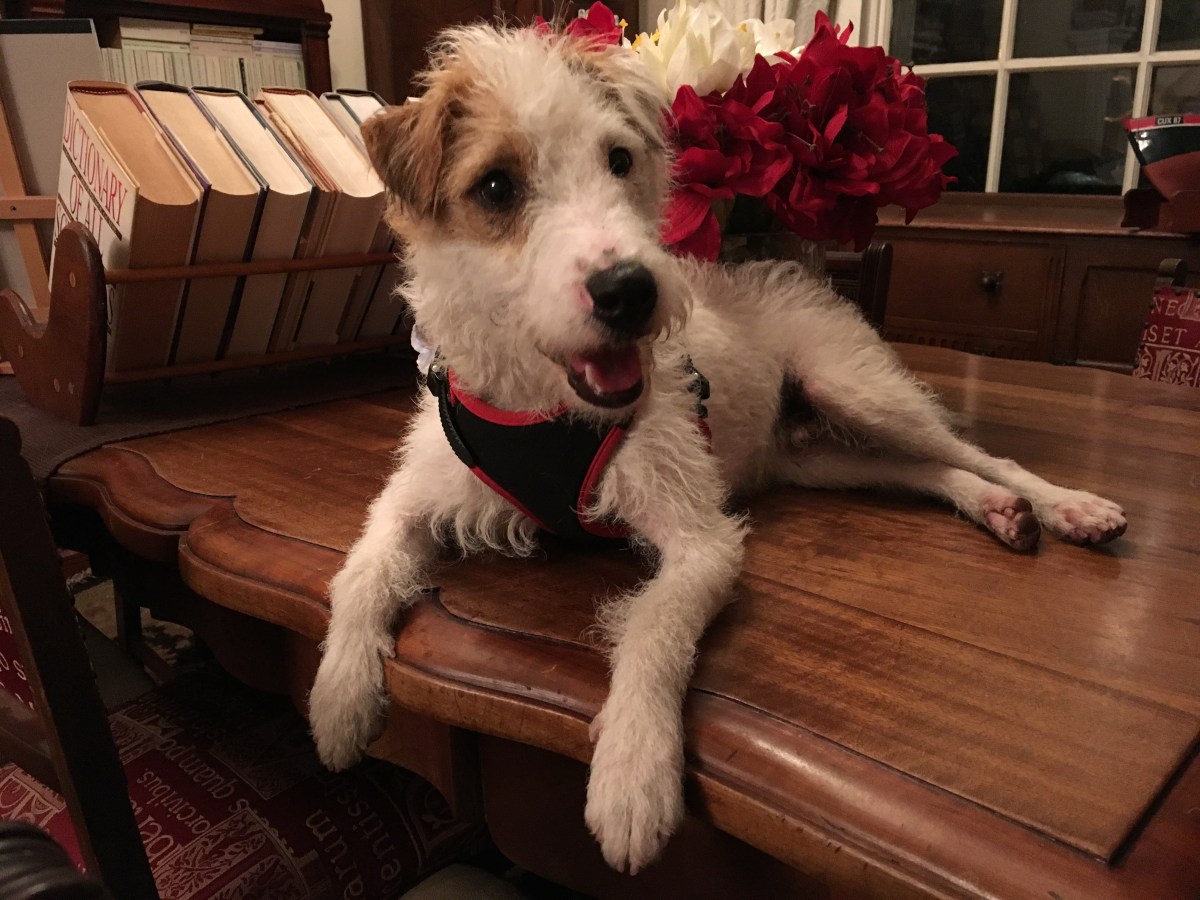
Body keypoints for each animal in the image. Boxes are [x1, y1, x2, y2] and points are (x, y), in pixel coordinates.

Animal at [308, 23, 1127, 874]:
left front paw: (633, 772)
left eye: (620, 160)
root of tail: (791, 276)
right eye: (496, 187)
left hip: (858, 391)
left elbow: (654, 630)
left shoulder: (701, 541)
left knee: (975, 452)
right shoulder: (407, 504)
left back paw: (1066, 506)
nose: (630, 290)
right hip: (816, 456)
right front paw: (339, 700)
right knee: (926, 470)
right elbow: (360, 574)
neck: (547, 410)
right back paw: (997, 510)